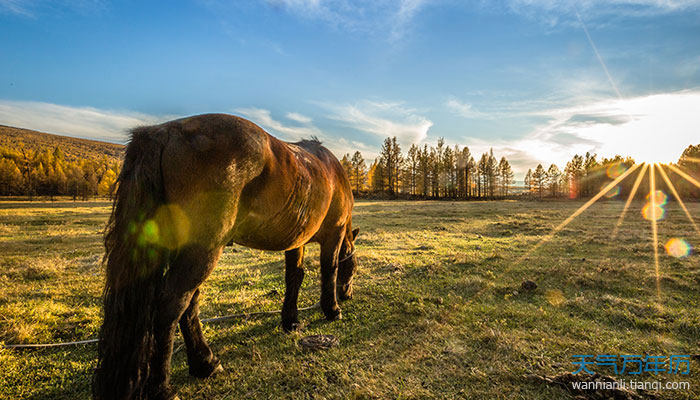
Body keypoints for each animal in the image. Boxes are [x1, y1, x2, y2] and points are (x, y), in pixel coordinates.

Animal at [90, 112, 358, 400]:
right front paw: (332, 309)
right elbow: (329, 269)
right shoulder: (334, 234)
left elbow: (294, 278)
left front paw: (291, 321)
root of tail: (164, 132)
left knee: (189, 304)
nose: (347, 294)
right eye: (353, 269)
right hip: (204, 251)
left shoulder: (296, 240)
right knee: (172, 305)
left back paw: (205, 363)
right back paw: (163, 387)